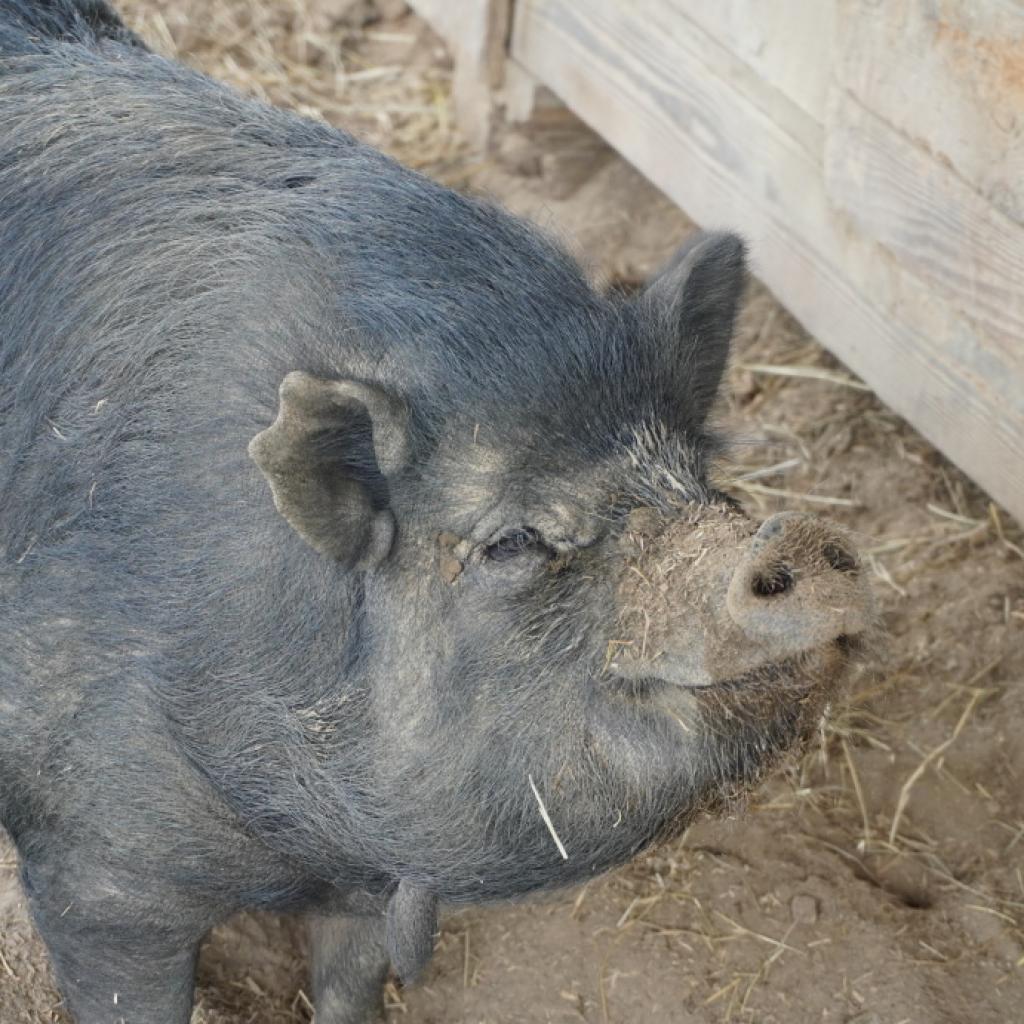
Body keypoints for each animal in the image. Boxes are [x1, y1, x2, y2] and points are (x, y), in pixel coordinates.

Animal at [0, 1, 874, 1021]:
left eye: (704, 482)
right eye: (512, 542)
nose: (795, 532)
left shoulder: (361, 885)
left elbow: (349, 983)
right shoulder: (95, 871)